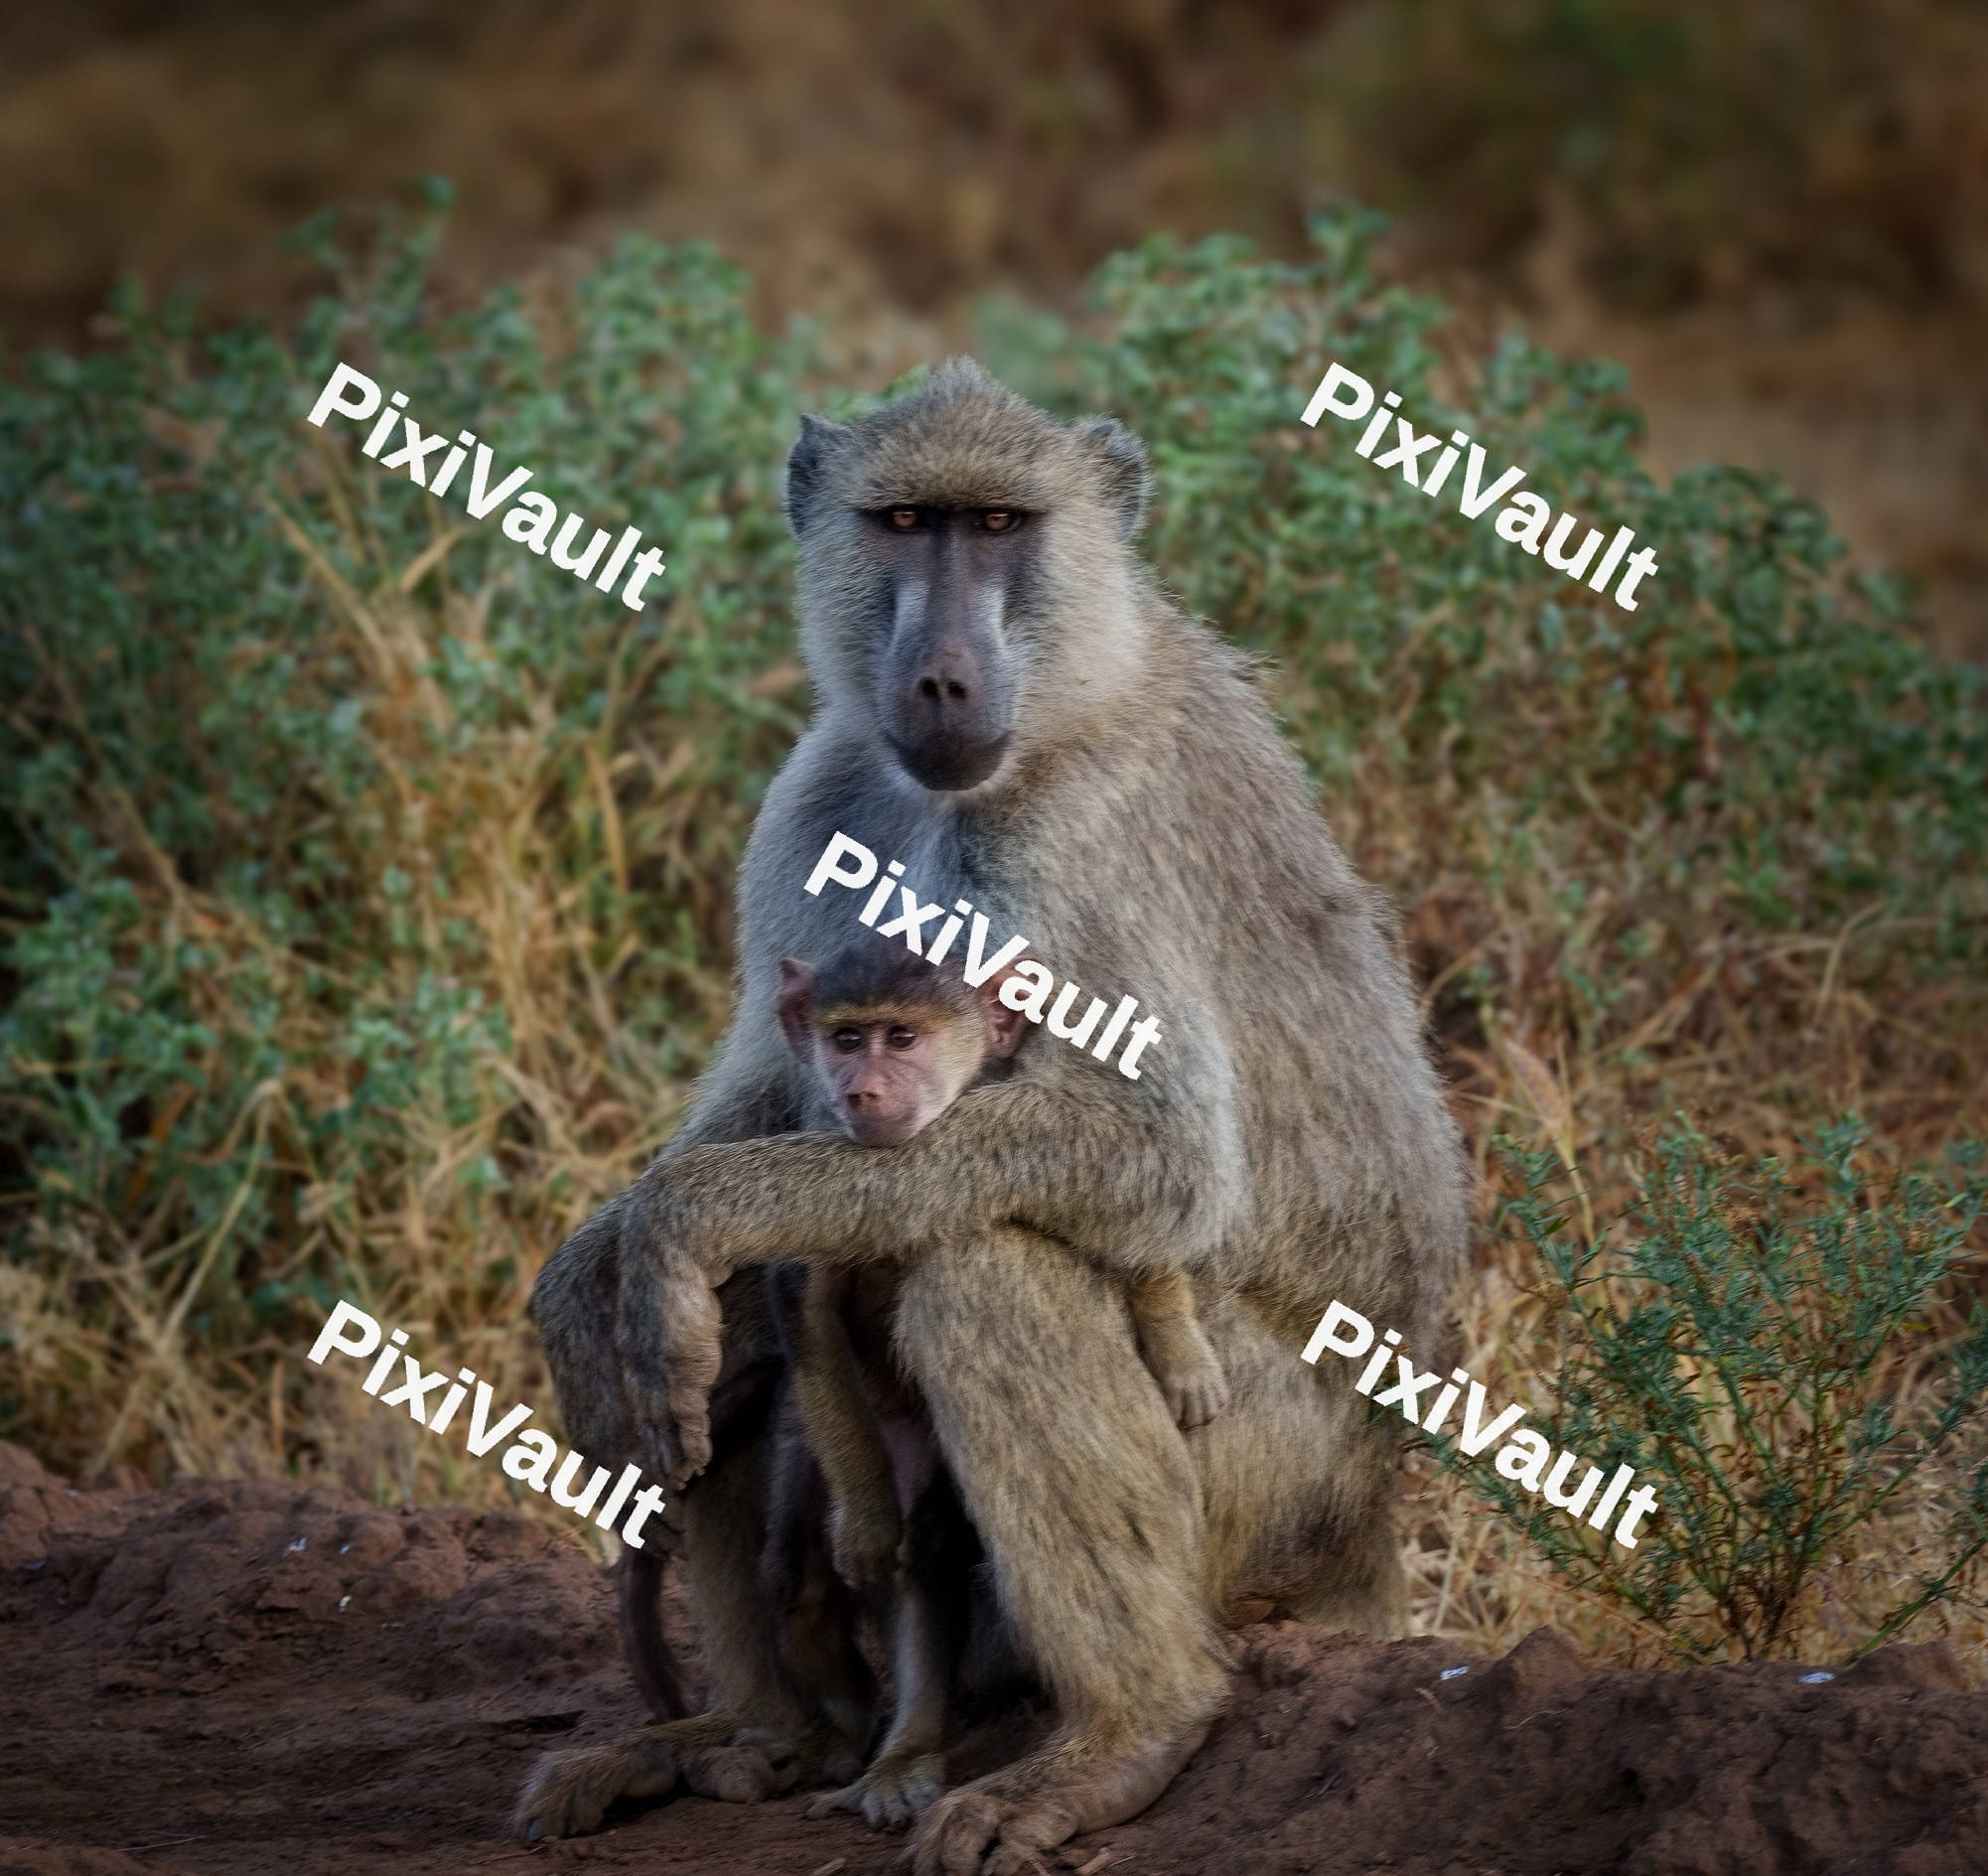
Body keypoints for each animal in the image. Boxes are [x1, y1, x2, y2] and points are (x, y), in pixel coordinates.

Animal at [516, 359, 1471, 1876]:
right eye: (907, 522)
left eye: (1000, 525)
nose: (942, 678)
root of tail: (1372, 1520)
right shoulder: (822, 789)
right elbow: (771, 1088)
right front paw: (584, 1270)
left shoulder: (1072, 836)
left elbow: (1159, 1154)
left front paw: (671, 1221)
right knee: (731, 1337)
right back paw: (751, 1732)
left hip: (1267, 1480)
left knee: (985, 1267)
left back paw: (1127, 1730)